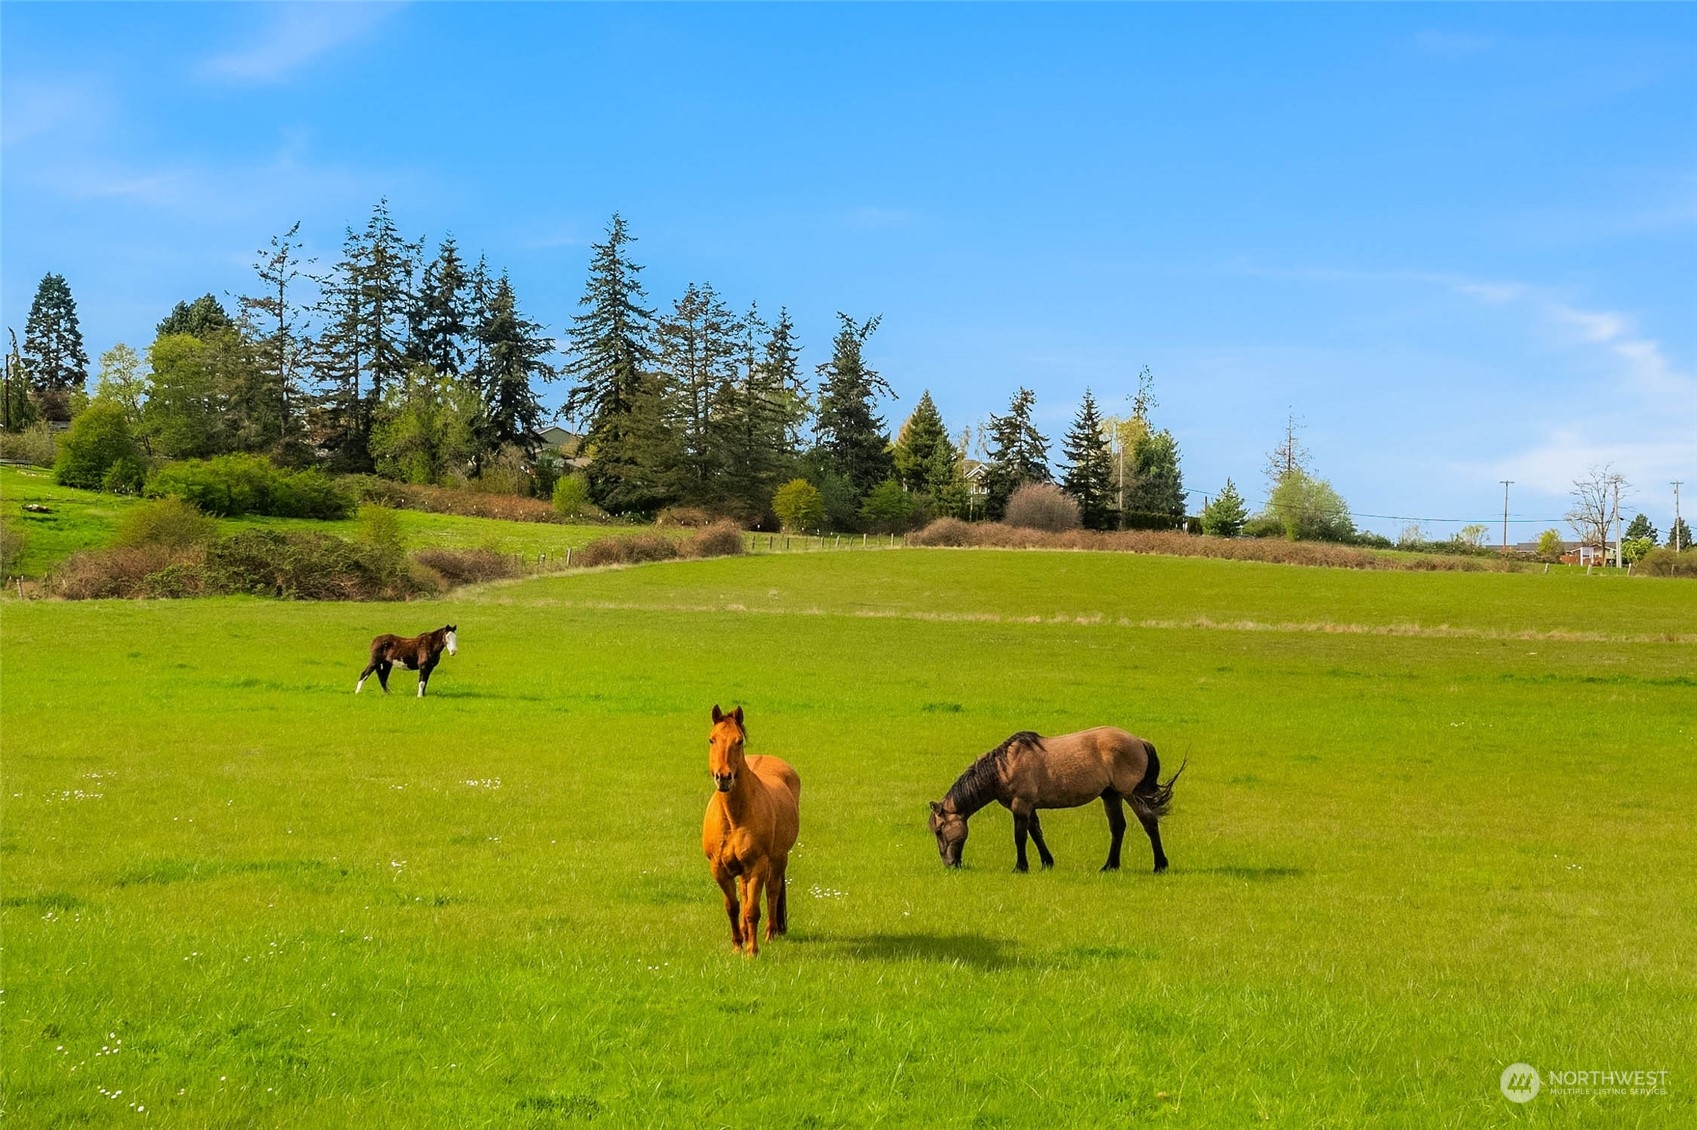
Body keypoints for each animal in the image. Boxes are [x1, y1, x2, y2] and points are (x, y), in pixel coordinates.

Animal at [699, 705, 797, 950]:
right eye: (712, 739)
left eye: (739, 741)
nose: (724, 777)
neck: (734, 817)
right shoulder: (719, 868)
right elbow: (733, 906)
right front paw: (737, 945)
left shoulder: (757, 865)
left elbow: (753, 909)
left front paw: (752, 950)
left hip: (779, 858)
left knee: (772, 891)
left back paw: (771, 933)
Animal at [929, 726, 1181, 875]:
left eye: (939, 830)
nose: (949, 864)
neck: (1004, 767)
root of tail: (1139, 741)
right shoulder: (1029, 807)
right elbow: (1036, 833)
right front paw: (1046, 862)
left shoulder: (1020, 805)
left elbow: (1020, 836)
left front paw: (1020, 867)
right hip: (1111, 795)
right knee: (1118, 827)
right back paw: (1110, 866)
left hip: (1131, 794)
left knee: (1149, 822)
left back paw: (1160, 865)